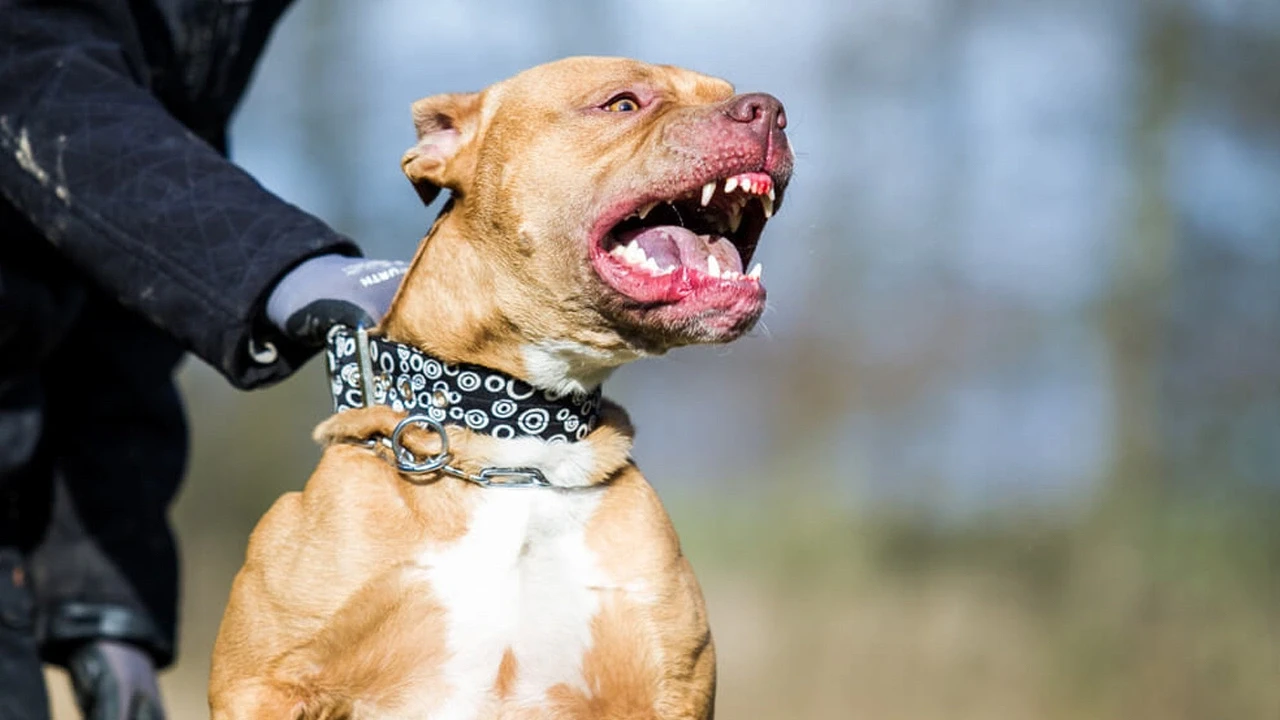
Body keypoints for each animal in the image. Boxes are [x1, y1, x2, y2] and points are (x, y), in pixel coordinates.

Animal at [209, 57, 788, 717]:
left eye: (729, 92)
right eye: (622, 103)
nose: (768, 110)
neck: (519, 443)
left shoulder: (669, 689)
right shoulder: (264, 684)